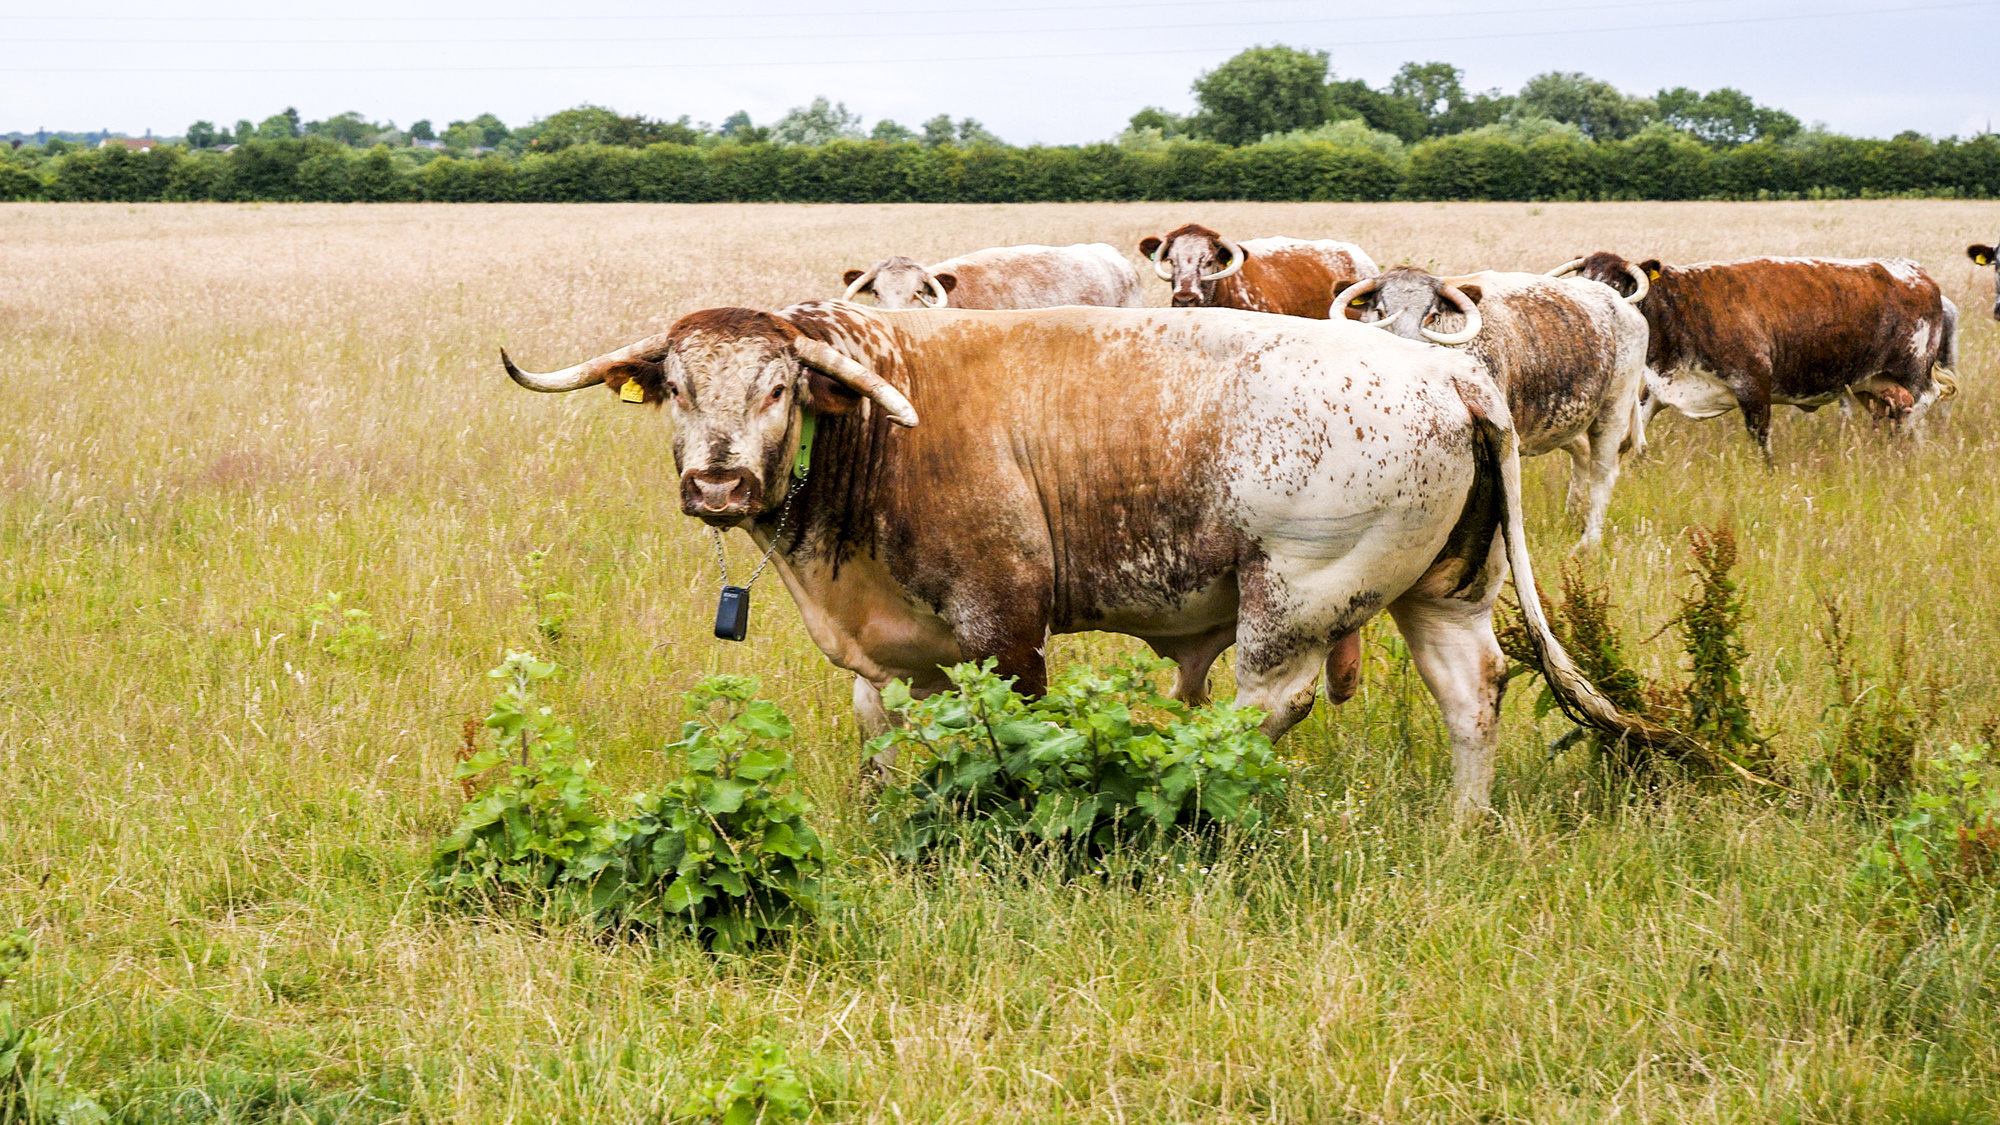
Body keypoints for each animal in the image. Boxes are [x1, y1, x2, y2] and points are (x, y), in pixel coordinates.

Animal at [500, 302, 1671, 817]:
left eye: (780, 387)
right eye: (679, 388)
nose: (718, 485)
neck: (877, 433)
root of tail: (1448, 374)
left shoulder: (1004, 628)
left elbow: (1010, 735)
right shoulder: (891, 653)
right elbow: (885, 739)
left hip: (1295, 596)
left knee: (1264, 705)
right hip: (1443, 593)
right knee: (1473, 694)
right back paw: (1463, 829)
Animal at [1328, 266, 1648, 550]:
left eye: (1433, 315)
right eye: (1380, 312)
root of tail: (1622, 305)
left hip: (1614, 408)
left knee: (1603, 472)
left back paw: (1588, 541)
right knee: (1581, 453)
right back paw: (1574, 516)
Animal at [1555, 252, 1959, 457]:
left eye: (1614, 284)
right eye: (1581, 279)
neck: (1680, 307)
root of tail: (1917, 273)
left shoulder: (1754, 385)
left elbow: (1761, 440)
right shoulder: (1656, 387)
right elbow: (1632, 436)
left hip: (1913, 368)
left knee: (1919, 403)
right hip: (1870, 381)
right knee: (1892, 409)